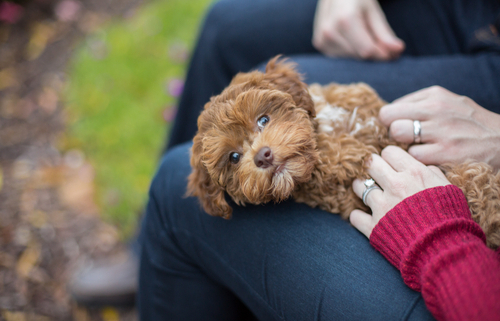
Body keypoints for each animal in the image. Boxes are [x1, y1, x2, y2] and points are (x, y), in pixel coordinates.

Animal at [188, 56, 500, 249]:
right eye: (233, 157)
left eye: (263, 120)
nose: (263, 156)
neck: (323, 135)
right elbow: (469, 181)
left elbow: (474, 179)